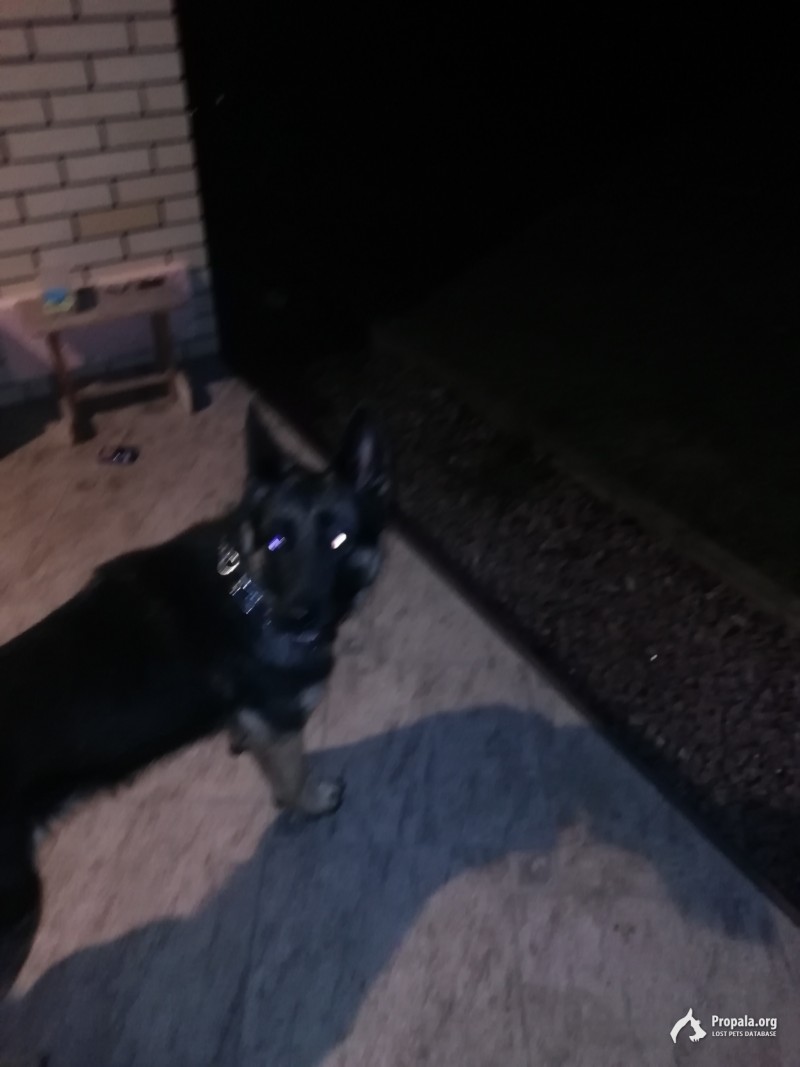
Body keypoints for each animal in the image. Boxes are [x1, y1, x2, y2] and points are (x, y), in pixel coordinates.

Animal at [0, 398, 390, 1004]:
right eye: (277, 541)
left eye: (340, 541)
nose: (298, 618)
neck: (250, 587)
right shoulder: (285, 724)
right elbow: (295, 777)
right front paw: (311, 801)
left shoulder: (264, 725)